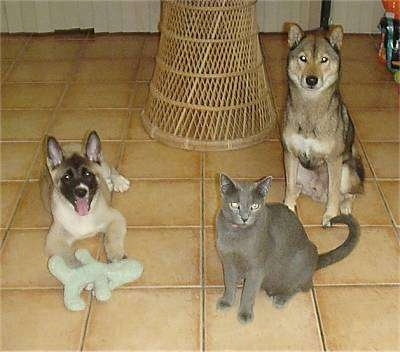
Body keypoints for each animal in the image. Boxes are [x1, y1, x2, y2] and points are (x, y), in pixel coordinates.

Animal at [40, 131, 130, 266]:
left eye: (87, 174)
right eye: (67, 177)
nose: (81, 192)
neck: (82, 217)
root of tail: (70, 144)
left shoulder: (115, 218)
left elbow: (112, 238)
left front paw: (116, 256)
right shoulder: (54, 240)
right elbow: (67, 256)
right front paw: (79, 269)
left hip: (103, 165)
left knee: (110, 169)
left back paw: (119, 181)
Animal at [216, 174, 360, 324]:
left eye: (254, 206)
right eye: (235, 205)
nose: (244, 218)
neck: (236, 234)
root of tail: (316, 259)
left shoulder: (256, 268)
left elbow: (248, 292)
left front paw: (244, 314)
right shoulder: (227, 261)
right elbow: (229, 282)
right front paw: (226, 301)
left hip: (302, 259)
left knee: (302, 286)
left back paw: (281, 298)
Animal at [282, 23, 364, 227]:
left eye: (324, 60)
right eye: (303, 58)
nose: (311, 80)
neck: (310, 107)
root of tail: (318, 194)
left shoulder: (334, 160)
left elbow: (334, 194)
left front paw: (331, 215)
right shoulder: (290, 153)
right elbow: (289, 185)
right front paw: (288, 206)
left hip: (345, 171)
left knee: (351, 193)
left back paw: (345, 206)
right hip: (300, 169)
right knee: (296, 185)